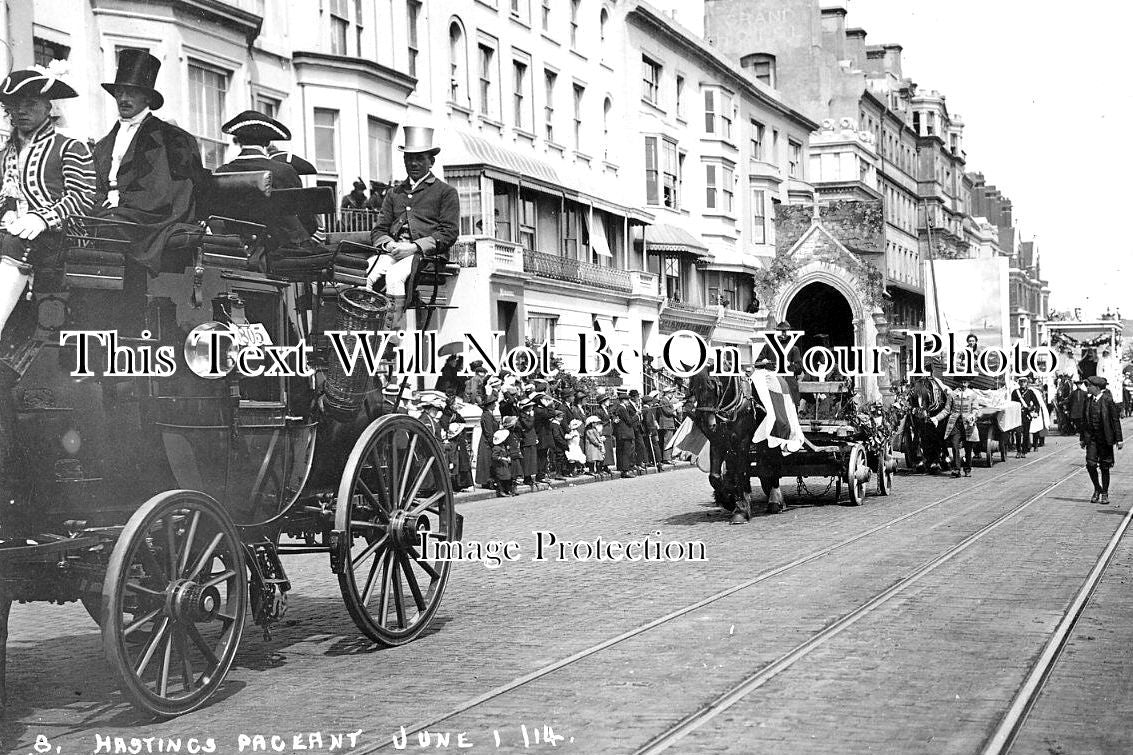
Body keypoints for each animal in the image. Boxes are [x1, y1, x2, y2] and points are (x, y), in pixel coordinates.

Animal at [684, 367, 784, 521]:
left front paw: (741, 510)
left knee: (771, 462)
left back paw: (774, 500)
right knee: (763, 465)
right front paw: (729, 500)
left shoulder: (742, 440)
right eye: (693, 388)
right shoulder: (717, 441)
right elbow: (715, 477)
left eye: (714, 387)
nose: (707, 425)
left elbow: (740, 472)